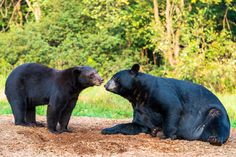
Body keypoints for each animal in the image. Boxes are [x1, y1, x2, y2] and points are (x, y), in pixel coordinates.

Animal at [102, 63, 230, 146]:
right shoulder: (140, 107)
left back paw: (216, 139)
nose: (105, 85)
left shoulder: (159, 91)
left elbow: (172, 107)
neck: (139, 95)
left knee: (218, 120)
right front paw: (107, 129)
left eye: (115, 78)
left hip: (213, 114)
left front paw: (167, 135)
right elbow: (138, 125)